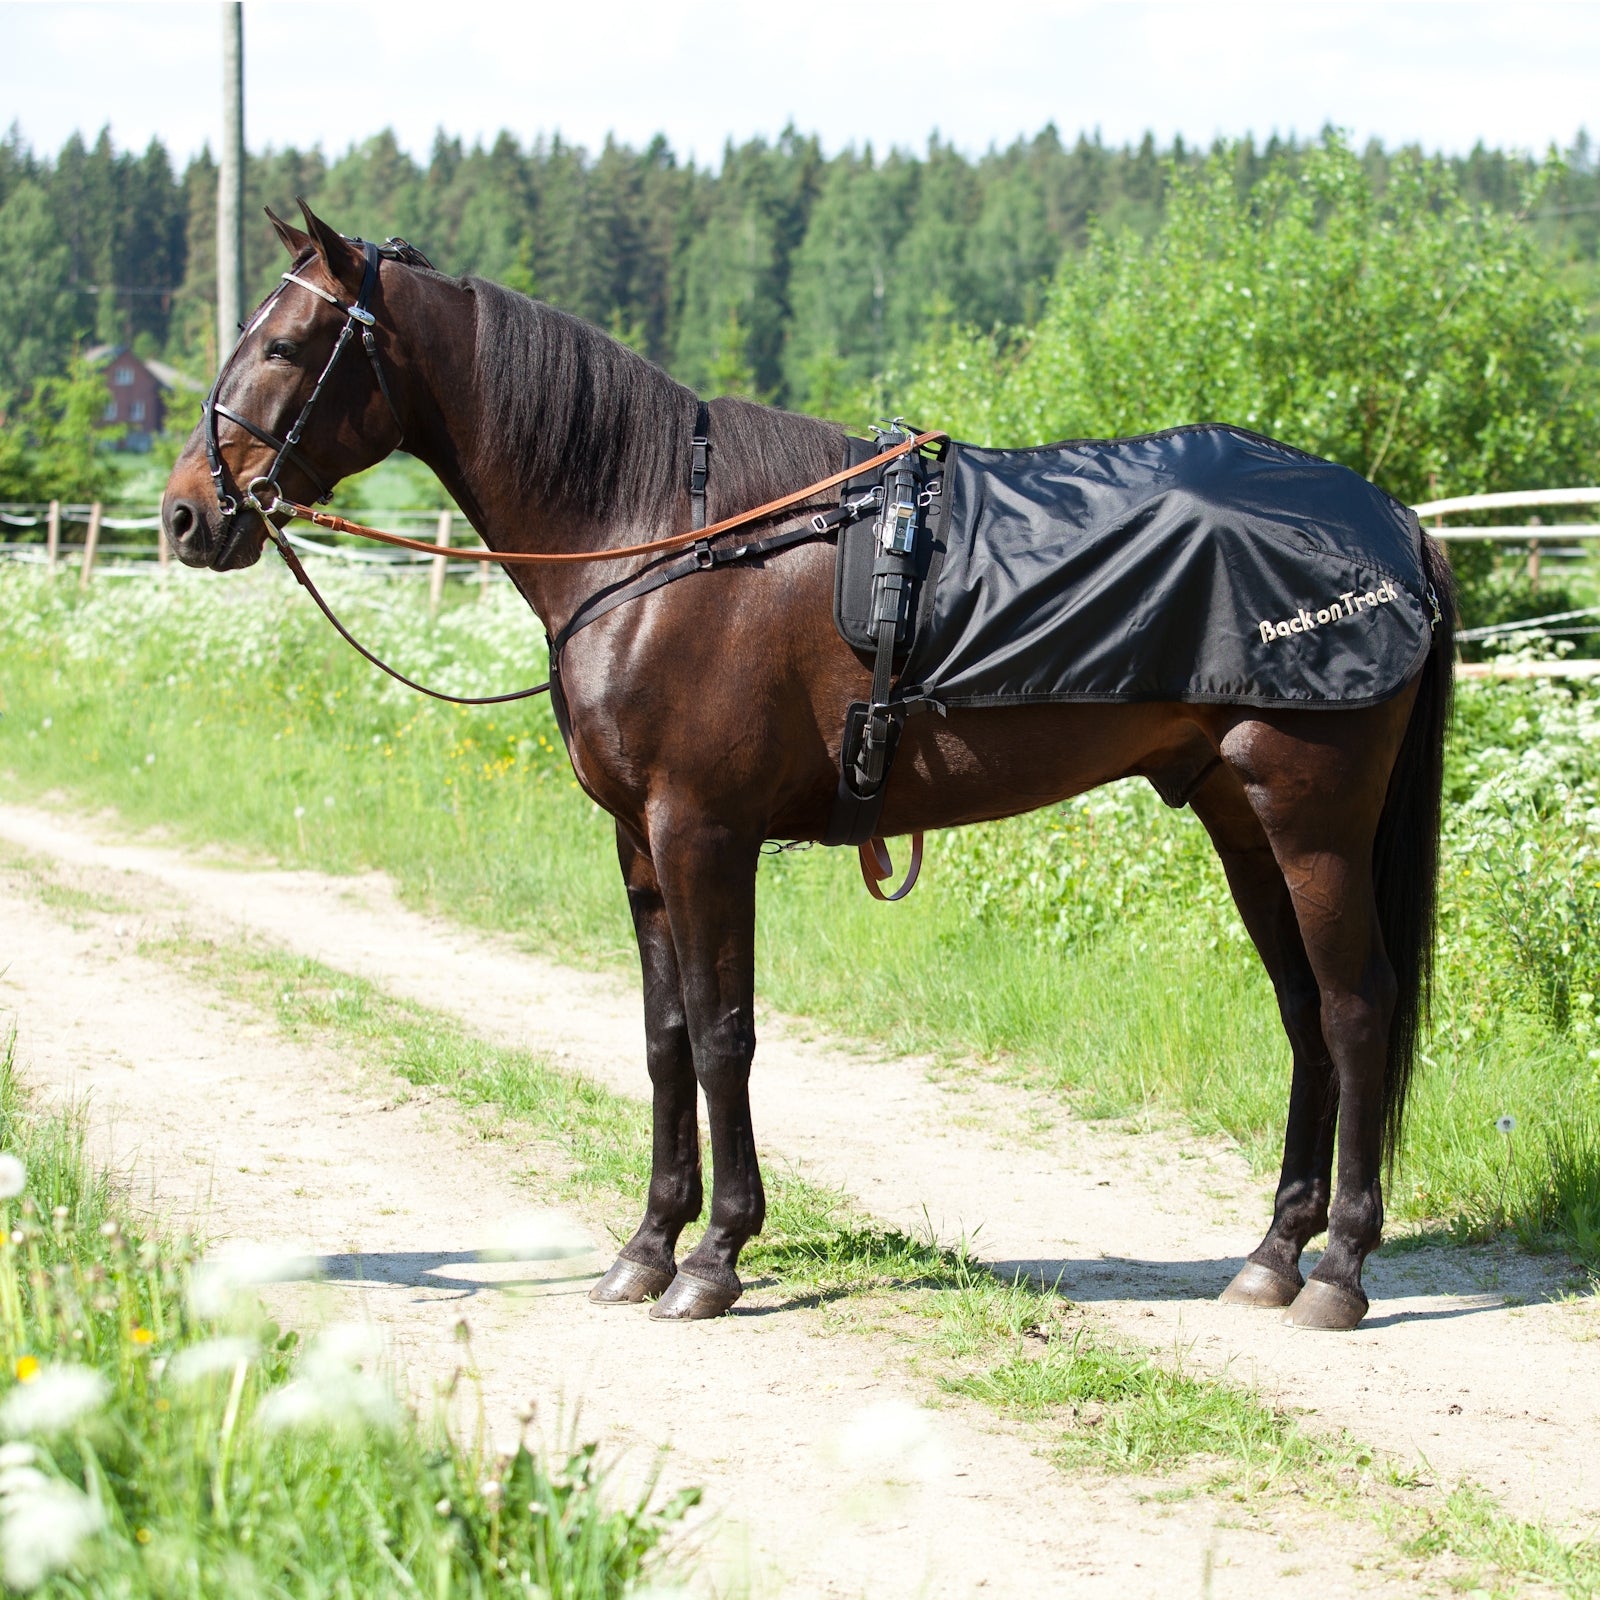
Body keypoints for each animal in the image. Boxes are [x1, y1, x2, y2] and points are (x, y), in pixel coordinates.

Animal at [162, 201, 1456, 1331]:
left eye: (284, 344)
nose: (186, 516)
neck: (660, 535)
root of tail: (1393, 526)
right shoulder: (639, 844)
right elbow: (664, 1037)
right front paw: (647, 1246)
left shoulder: (704, 832)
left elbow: (724, 1031)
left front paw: (715, 1257)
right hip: (1239, 820)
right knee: (1301, 1012)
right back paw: (1271, 1255)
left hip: (1310, 822)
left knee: (1354, 1007)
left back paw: (1339, 1268)